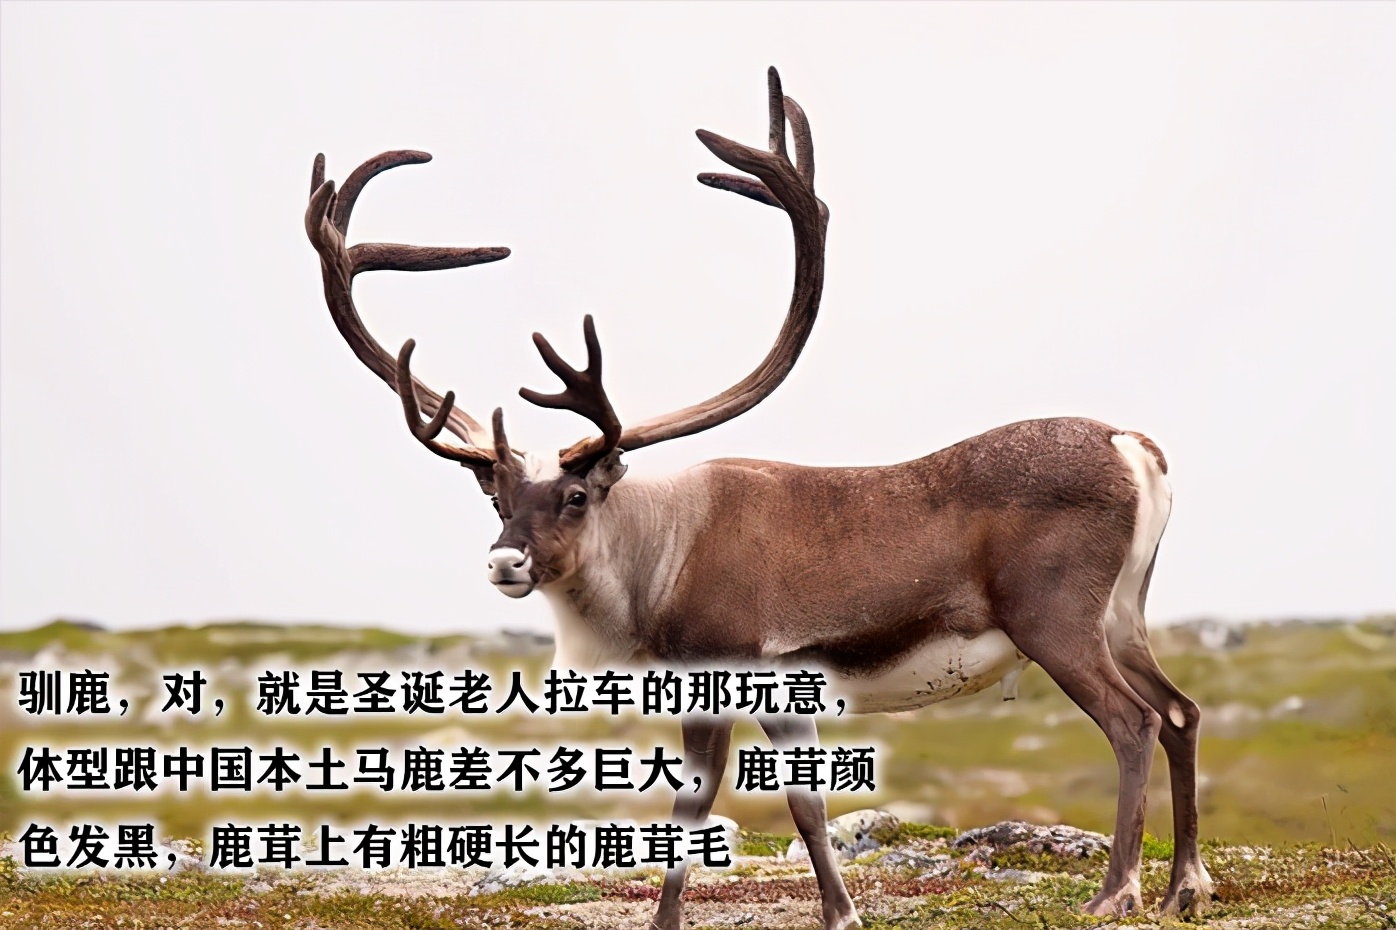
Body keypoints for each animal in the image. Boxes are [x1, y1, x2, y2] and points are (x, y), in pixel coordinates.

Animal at [303, 68, 1213, 929]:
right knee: (1180, 710)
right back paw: (1183, 888)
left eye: (575, 494)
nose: (504, 562)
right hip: (1122, 613)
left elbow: (724, 803)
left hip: (1054, 618)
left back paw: (1117, 893)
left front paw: (794, 914)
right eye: (496, 497)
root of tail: (1134, 447)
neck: (657, 564)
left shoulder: (738, 668)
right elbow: (771, 805)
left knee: (1133, 721)